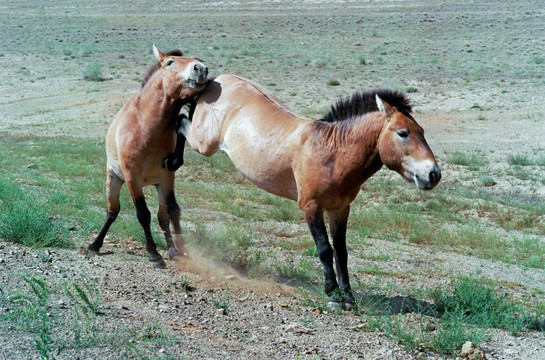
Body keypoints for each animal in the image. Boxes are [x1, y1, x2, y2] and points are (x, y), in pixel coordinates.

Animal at [87, 45, 208, 268]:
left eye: (197, 59)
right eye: (170, 62)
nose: (201, 69)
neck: (147, 127)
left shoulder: (167, 178)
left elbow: (170, 213)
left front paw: (179, 250)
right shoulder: (132, 178)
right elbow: (143, 214)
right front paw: (154, 254)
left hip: (158, 183)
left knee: (165, 214)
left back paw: (172, 249)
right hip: (114, 179)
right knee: (112, 212)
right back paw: (95, 244)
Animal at [176, 74, 440, 310]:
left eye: (422, 131)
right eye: (402, 133)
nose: (433, 174)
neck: (332, 152)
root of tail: (218, 80)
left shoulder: (339, 209)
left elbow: (341, 252)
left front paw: (348, 296)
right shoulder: (311, 206)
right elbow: (324, 248)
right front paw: (332, 293)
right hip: (203, 144)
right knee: (180, 121)